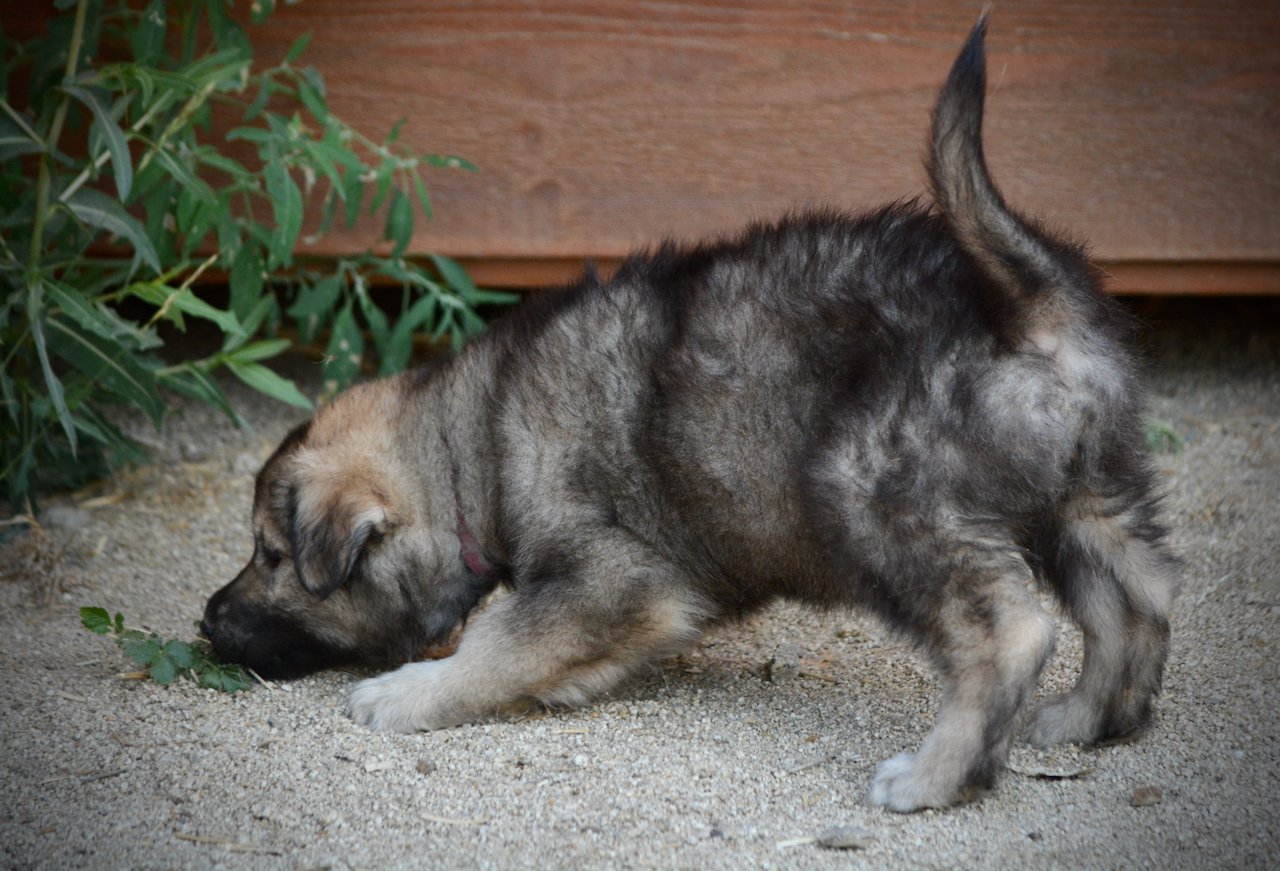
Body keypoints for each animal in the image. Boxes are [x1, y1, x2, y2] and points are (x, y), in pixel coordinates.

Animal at [204, 15, 1172, 809]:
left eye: (273, 555)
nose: (205, 621)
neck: (469, 442)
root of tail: (1029, 299)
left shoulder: (614, 575)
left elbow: (499, 644)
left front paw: (402, 692)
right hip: (1090, 496)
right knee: (1135, 601)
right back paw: (1080, 721)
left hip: (879, 494)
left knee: (1012, 630)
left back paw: (935, 775)